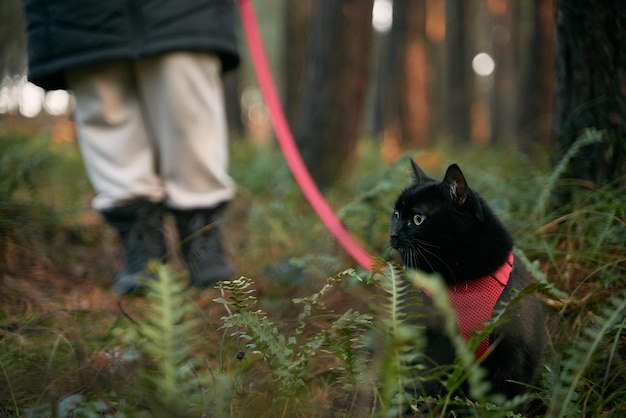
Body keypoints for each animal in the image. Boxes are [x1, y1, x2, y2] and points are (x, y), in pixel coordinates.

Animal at [388, 159, 544, 402]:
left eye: (417, 219)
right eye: (396, 214)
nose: (393, 234)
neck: (460, 283)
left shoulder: (512, 353)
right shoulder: (432, 348)